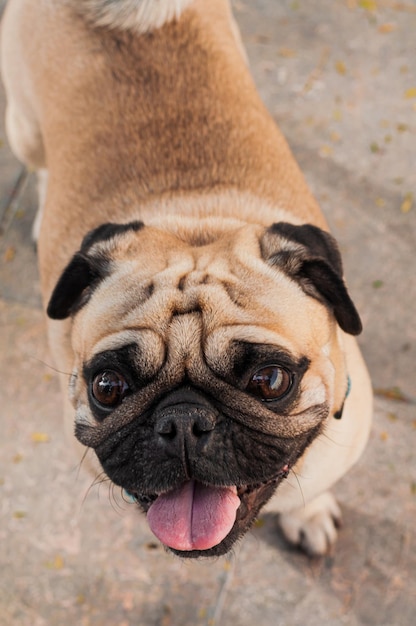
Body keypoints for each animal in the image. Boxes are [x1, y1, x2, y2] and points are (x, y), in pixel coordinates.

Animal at [1, 0, 372, 556]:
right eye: (107, 387)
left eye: (270, 381)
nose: (183, 421)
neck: (198, 220)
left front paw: (307, 511)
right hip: (24, 129)